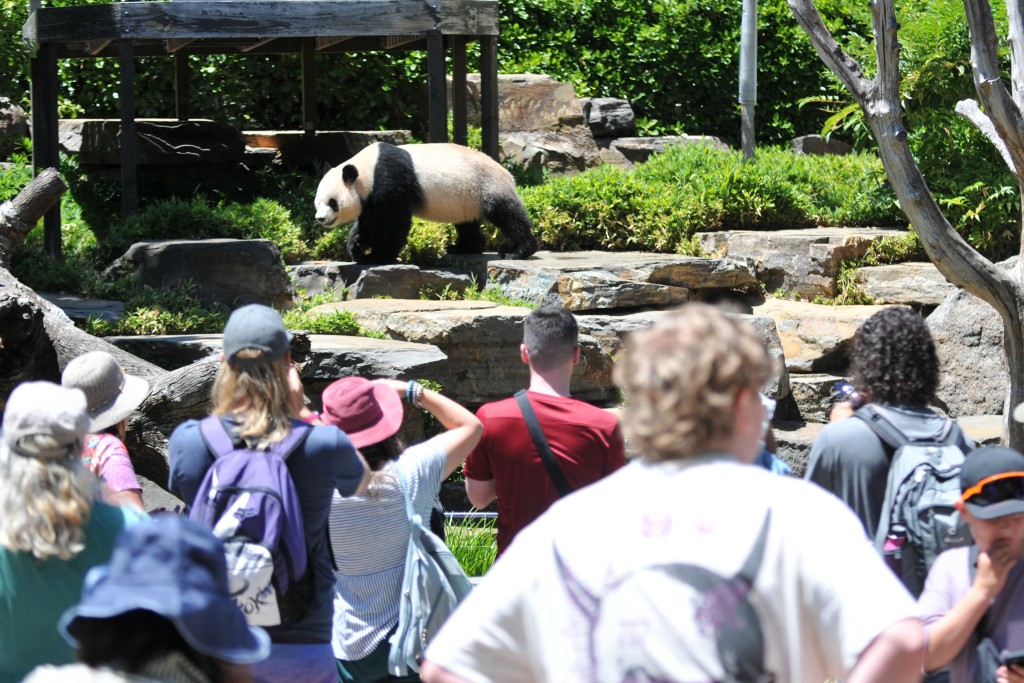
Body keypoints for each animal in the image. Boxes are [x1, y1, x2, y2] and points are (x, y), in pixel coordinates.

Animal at [313, 142, 540, 264]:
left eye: (333, 202)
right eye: (317, 202)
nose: (320, 219)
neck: (366, 169)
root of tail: (508, 173)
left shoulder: (389, 180)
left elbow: (392, 223)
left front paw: (377, 256)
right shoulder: (369, 196)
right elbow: (367, 223)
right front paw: (357, 248)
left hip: (487, 185)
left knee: (507, 214)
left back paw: (518, 251)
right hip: (467, 197)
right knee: (467, 224)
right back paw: (463, 248)